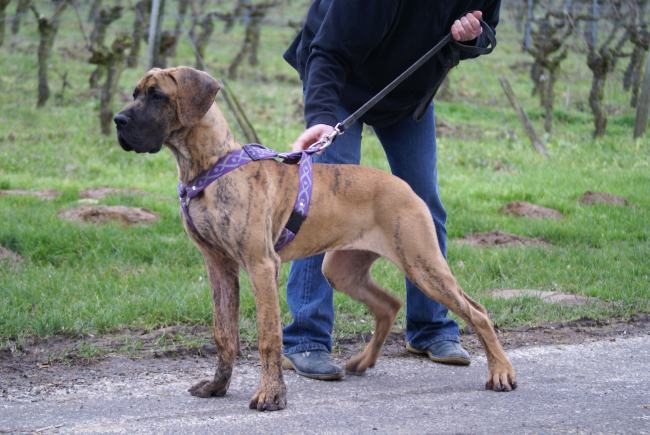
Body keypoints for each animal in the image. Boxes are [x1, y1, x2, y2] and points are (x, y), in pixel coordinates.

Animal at [114, 66, 512, 410]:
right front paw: (217, 387)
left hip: (422, 263)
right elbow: (223, 334)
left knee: (476, 311)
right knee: (388, 304)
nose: (118, 121)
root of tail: (403, 186)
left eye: (157, 95)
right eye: (135, 93)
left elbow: (268, 336)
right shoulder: (219, 267)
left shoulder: (261, 265)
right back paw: (361, 362)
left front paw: (271, 395)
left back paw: (501, 372)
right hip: (343, 270)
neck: (208, 166)